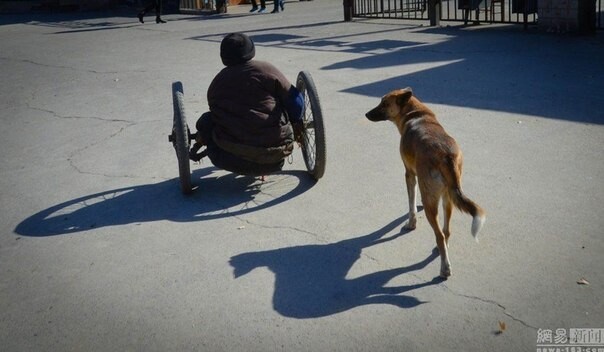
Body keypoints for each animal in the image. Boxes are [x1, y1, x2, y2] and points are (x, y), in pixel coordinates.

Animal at [364, 87, 486, 278]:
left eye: (384, 104)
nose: (366, 114)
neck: (414, 114)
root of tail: (446, 156)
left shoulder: (409, 174)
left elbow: (411, 204)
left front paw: (411, 223)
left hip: (433, 203)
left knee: (440, 235)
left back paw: (445, 268)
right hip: (448, 198)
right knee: (446, 231)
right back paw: (442, 251)